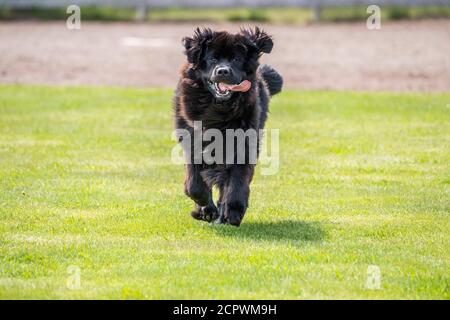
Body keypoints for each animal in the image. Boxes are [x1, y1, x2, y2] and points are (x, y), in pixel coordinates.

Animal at [174, 28, 284, 228]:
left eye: (235, 59)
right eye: (213, 58)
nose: (223, 71)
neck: (218, 110)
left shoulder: (243, 145)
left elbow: (237, 182)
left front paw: (233, 211)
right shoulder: (192, 143)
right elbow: (194, 185)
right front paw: (206, 209)